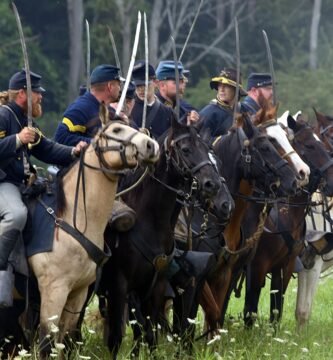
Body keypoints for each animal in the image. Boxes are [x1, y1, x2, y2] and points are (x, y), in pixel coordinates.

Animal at [100, 117, 222, 358]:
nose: (212, 184)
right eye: (186, 149)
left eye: (206, 148)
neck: (150, 223)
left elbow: (150, 335)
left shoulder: (155, 288)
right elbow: (125, 336)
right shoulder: (122, 287)